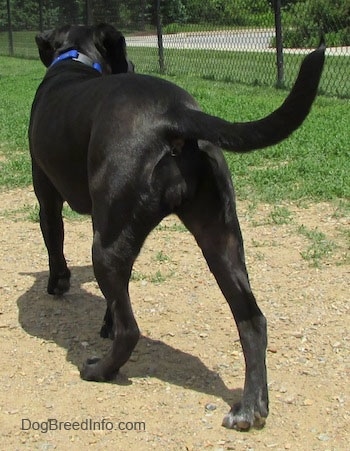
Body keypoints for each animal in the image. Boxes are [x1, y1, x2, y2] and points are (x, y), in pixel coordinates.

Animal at [28, 23, 326, 430]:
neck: (77, 57)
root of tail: (176, 114)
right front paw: (104, 319)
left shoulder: (47, 195)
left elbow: (54, 244)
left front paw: (57, 284)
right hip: (220, 238)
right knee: (252, 320)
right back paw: (250, 406)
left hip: (107, 246)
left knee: (131, 330)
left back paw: (100, 369)